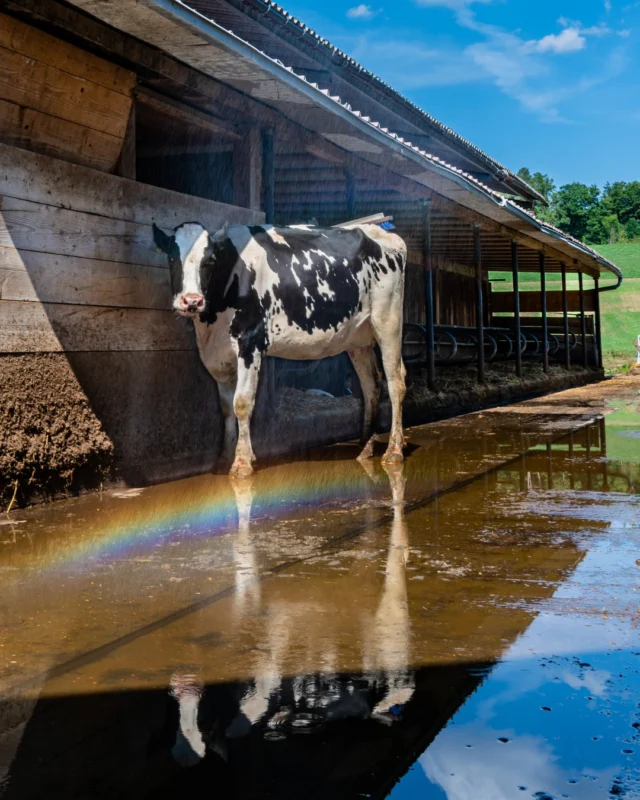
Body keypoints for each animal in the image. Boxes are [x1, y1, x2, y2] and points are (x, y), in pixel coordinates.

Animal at [152, 221, 407, 477]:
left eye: (209, 261)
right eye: (172, 258)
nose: (191, 301)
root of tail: (381, 232)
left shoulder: (250, 342)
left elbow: (242, 403)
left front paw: (242, 462)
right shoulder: (218, 355)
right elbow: (226, 408)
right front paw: (224, 459)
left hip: (388, 321)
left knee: (396, 382)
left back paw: (394, 451)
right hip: (359, 338)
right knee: (371, 384)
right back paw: (365, 447)